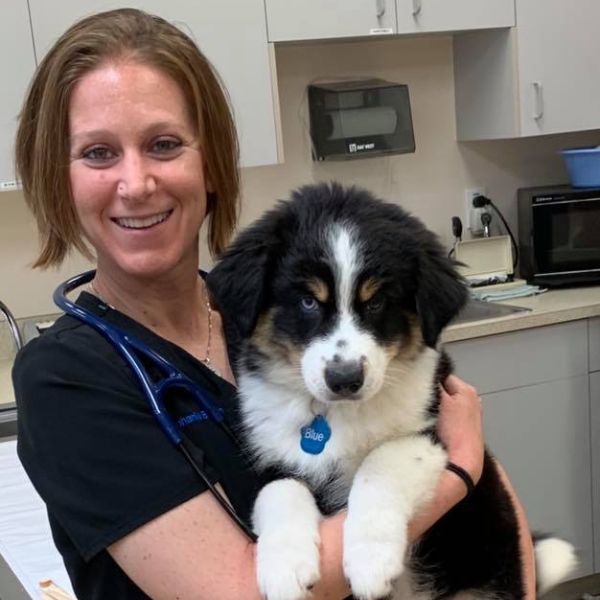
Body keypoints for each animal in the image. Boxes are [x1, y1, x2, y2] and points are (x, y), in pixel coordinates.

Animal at [207, 183, 576, 600]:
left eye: (377, 302)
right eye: (307, 301)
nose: (345, 378)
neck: (338, 415)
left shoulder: (430, 432)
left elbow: (379, 463)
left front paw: (370, 561)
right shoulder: (274, 456)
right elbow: (279, 493)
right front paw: (285, 570)